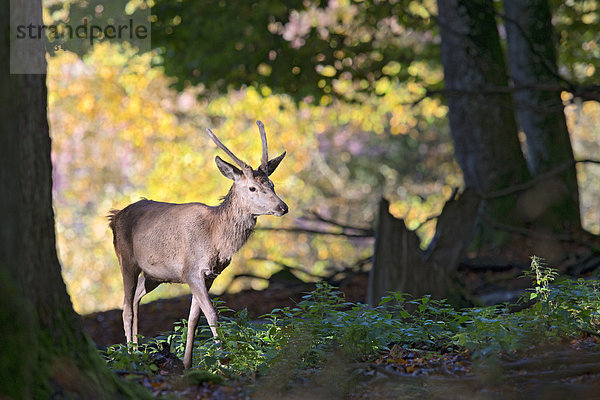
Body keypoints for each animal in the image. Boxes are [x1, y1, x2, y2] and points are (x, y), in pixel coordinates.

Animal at [108, 121, 288, 368]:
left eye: (272, 184)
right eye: (252, 188)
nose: (283, 207)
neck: (215, 239)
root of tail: (114, 216)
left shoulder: (210, 275)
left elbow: (194, 318)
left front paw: (187, 363)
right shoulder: (191, 270)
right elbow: (212, 315)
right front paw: (223, 363)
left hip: (154, 274)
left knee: (136, 299)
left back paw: (138, 349)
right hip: (126, 260)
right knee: (125, 307)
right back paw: (131, 355)